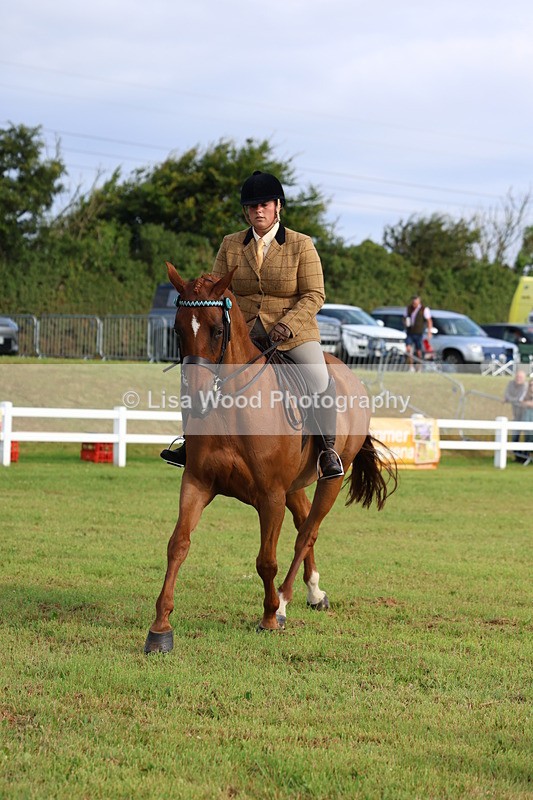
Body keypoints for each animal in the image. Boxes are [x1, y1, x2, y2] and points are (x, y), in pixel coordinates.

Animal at [144, 263, 397, 653]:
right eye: (177, 329)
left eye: (217, 330)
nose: (196, 399)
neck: (233, 409)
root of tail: (350, 375)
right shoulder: (197, 482)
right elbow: (178, 545)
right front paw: (160, 628)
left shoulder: (271, 496)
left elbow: (266, 560)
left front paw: (268, 617)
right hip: (295, 485)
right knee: (305, 522)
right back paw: (314, 592)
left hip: (332, 478)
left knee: (307, 533)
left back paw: (285, 602)